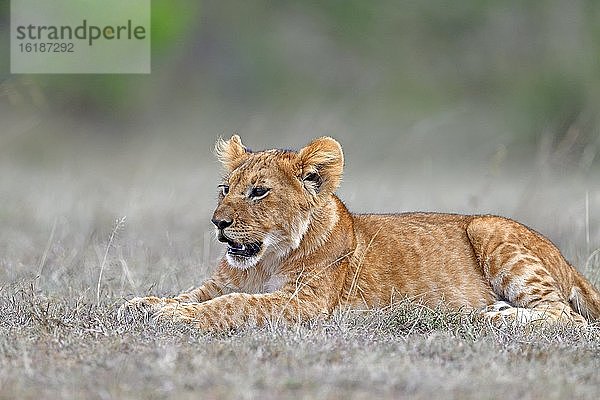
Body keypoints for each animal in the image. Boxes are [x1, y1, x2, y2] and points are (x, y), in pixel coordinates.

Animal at [120, 136, 600, 330]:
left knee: (566, 315)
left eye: (258, 192)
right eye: (225, 190)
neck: (264, 261)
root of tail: (564, 258)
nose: (218, 222)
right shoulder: (217, 283)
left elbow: (233, 306)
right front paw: (141, 304)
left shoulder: (306, 304)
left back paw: (493, 316)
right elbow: (188, 294)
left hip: (489, 226)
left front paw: (176, 318)